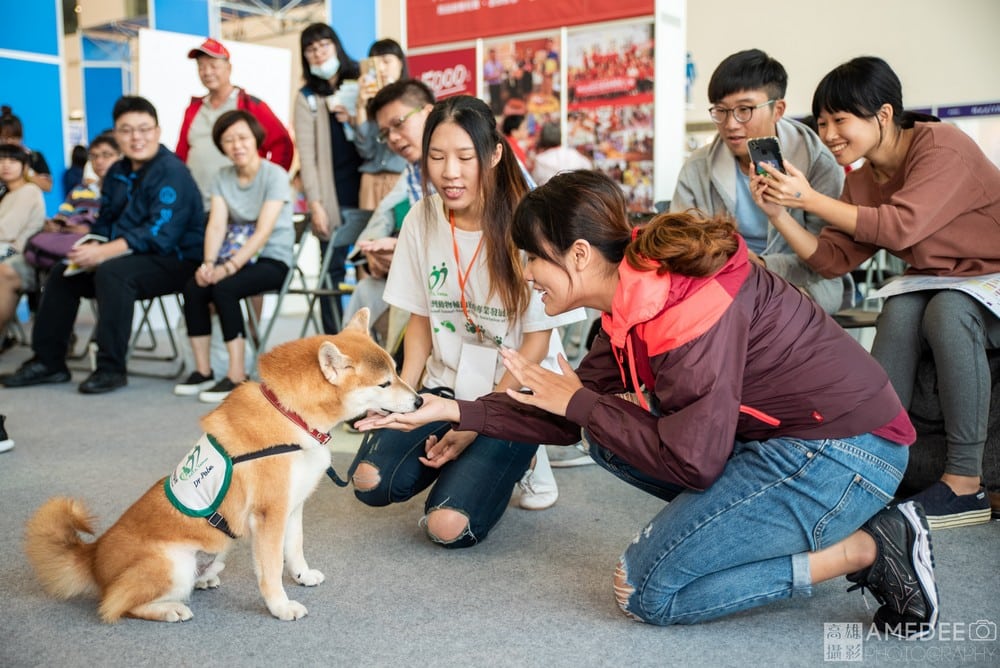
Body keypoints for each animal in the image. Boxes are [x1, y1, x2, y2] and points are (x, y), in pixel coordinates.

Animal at [23, 308, 422, 620]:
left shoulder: (292, 507)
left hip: (212, 555)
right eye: (385, 383)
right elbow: (270, 570)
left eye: (398, 370)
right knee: (116, 605)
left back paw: (205, 580)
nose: (420, 401)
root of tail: (93, 557)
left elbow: (294, 549)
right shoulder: (269, 516)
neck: (290, 415)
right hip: (173, 564)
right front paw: (280, 606)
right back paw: (169, 609)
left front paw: (302, 575)